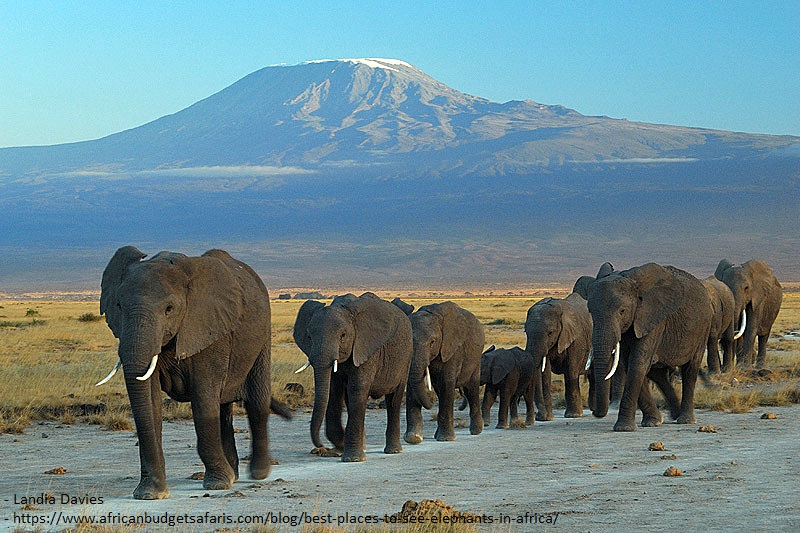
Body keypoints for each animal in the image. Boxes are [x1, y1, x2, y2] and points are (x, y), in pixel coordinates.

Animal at [98, 246, 290, 498]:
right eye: (119, 306)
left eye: (169, 309)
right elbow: (150, 402)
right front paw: (151, 493)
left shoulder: (209, 328)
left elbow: (203, 399)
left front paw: (218, 484)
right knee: (223, 408)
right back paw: (234, 475)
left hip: (262, 335)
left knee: (256, 401)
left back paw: (257, 473)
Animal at [290, 290, 412, 462]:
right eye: (309, 336)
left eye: (343, 335)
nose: (320, 446)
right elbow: (333, 389)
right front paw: (338, 451)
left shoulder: (366, 348)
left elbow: (357, 389)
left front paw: (352, 458)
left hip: (406, 357)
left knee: (394, 399)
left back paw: (393, 450)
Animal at [404, 302, 484, 442]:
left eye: (432, 342)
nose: (430, 402)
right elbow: (412, 385)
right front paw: (413, 438)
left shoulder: (453, 348)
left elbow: (447, 383)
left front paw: (446, 439)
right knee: (440, 391)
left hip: (476, 359)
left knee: (471, 389)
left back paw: (476, 431)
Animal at [524, 290, 592, 420]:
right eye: (526, 332)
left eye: (550, 333)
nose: (540, 416)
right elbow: (545, 374)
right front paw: (547, 418)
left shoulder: (576, 337)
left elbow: (571, 371)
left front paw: (573, 415)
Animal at [588, 262, 712, 432]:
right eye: (590, 312)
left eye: (622, 311)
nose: (594, 411)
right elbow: (631, 364)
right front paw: (652, 422)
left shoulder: (653, 318)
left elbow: (637, 364)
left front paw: (624, 428)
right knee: (657, 373)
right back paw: (672, 415)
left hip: (703, 328)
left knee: (690, 369)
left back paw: (685, 420)